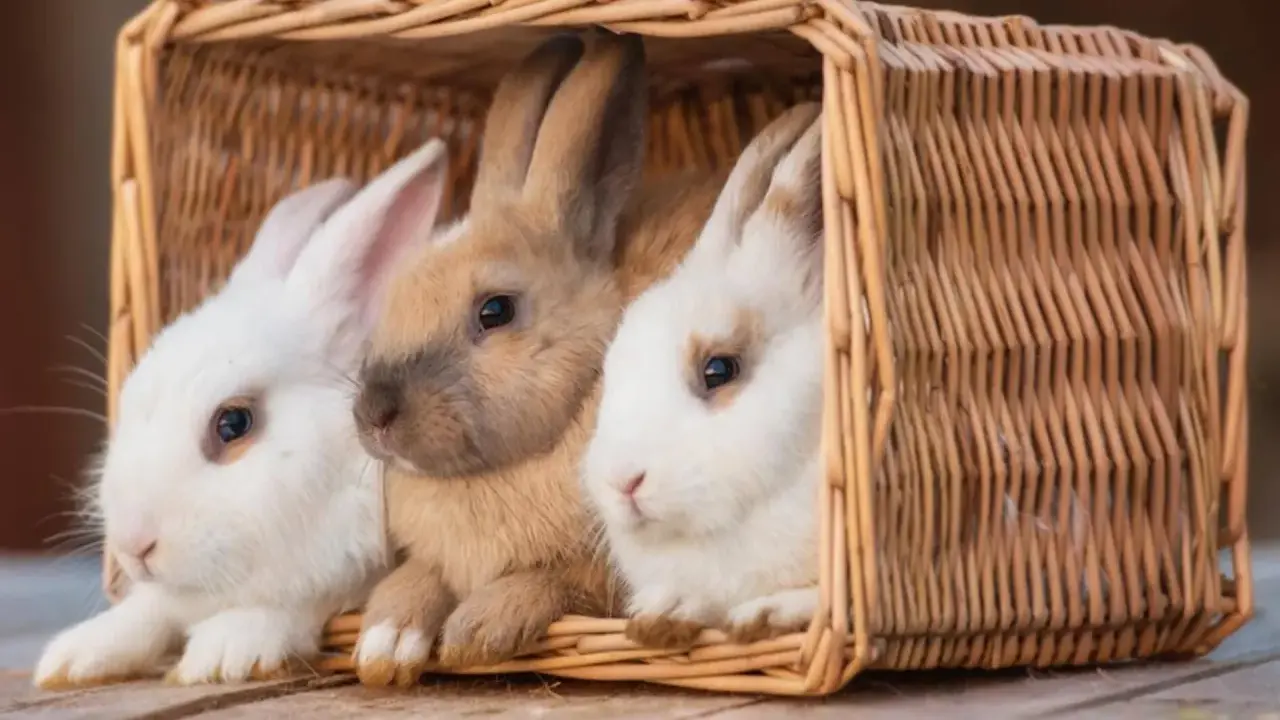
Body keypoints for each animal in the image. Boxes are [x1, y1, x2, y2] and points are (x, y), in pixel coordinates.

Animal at [32, 138, 452, 688]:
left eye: (233, 424)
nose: (133, 546)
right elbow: (149, 610)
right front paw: (71, 658)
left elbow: (301, 598)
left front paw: (222, 654)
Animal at [347, 31, 725, 685]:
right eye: (392, 302)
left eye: (495, 310)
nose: (374, 412)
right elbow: (417, 577)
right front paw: (384, 644)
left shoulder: (603, 574)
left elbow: (556, 580)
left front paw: (476, 632)